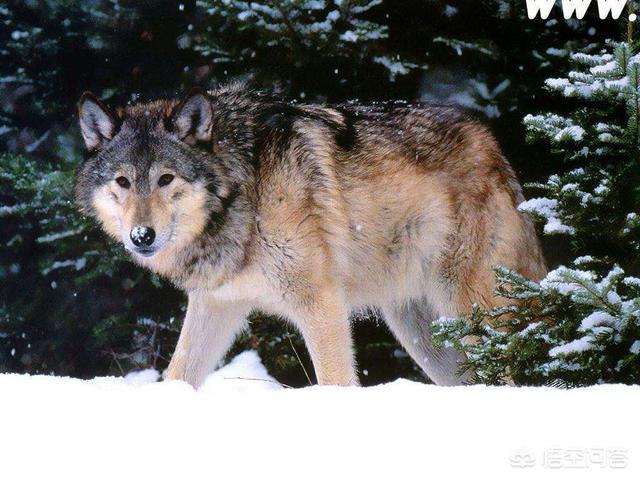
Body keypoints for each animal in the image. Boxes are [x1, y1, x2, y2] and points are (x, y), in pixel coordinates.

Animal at [75, 84, 544, 388]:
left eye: (166, 178)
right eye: (123, 182)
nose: (141, 235)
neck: (245, 191)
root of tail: (495, 149)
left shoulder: (320, 303)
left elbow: (335, 382)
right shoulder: (216, 304)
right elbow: (177, 374)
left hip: (469, 313)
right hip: (424, 338)